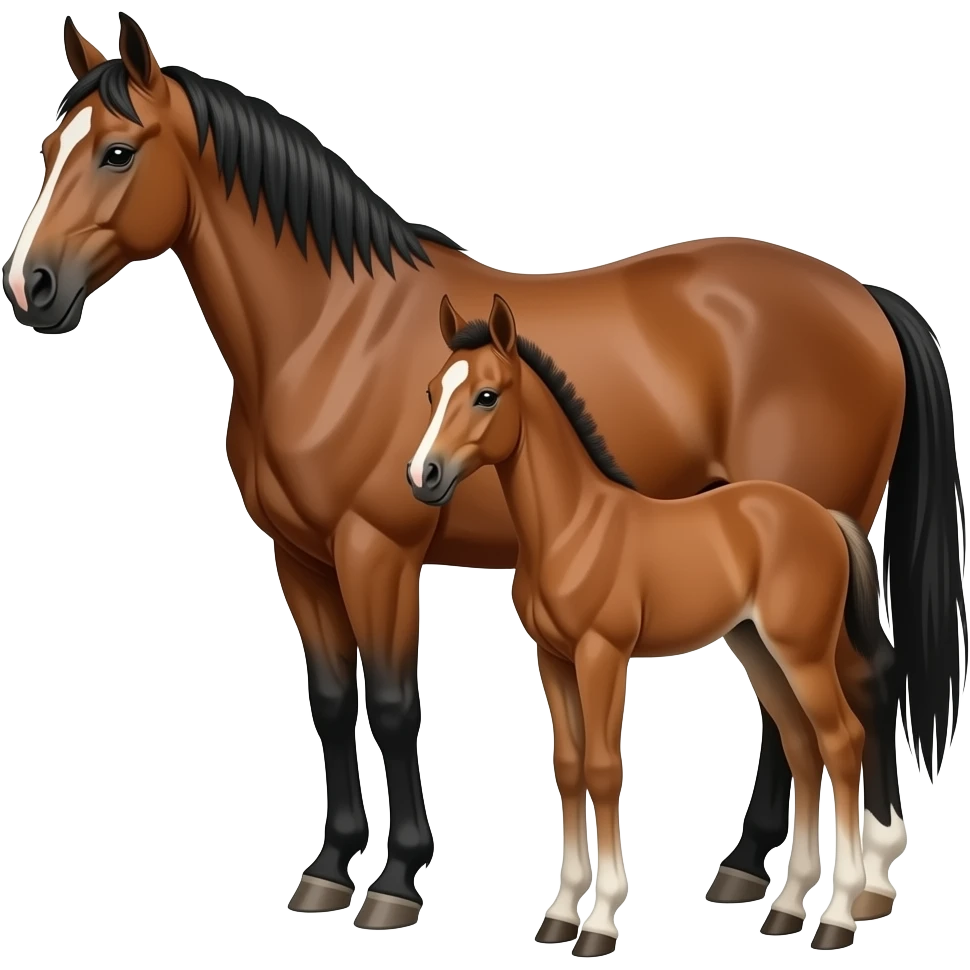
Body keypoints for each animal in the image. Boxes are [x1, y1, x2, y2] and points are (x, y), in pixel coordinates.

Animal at [409, 294, 911, 954]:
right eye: (432, 388)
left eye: (487, 395)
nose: (424, 476)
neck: (573, 526)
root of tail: (824, 516)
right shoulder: (553, 658)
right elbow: (568, 768)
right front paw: (560, 912)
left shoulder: (603, 654)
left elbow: (603, 770)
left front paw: (599, 921)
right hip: (756, 647)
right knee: (803, 746)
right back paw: (785, 907)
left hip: (802, 652)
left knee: (841, 741)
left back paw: (838, 916)